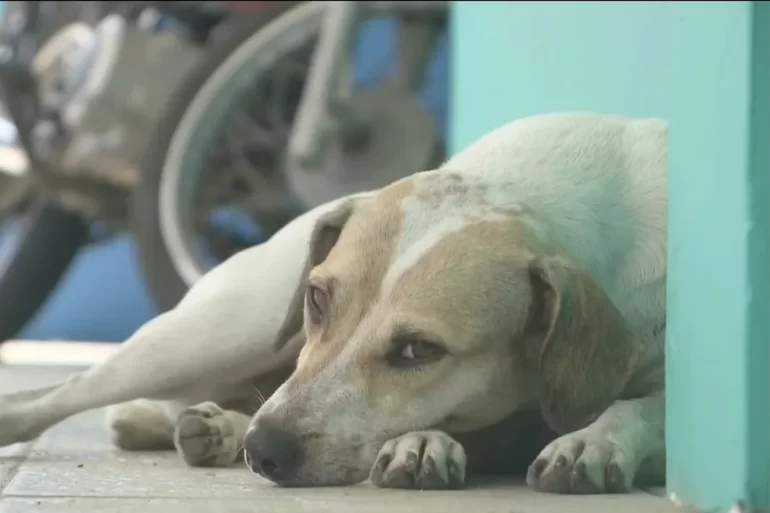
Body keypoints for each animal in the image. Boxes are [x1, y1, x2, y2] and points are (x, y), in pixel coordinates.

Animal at [0, 111, 664, 492]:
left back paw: (215, 428)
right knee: (67, 393)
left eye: (420, 351)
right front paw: (424, 443)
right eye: (317, 299)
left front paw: (593, 438)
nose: (264, 451)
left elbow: (641, 407)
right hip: (214, 335)